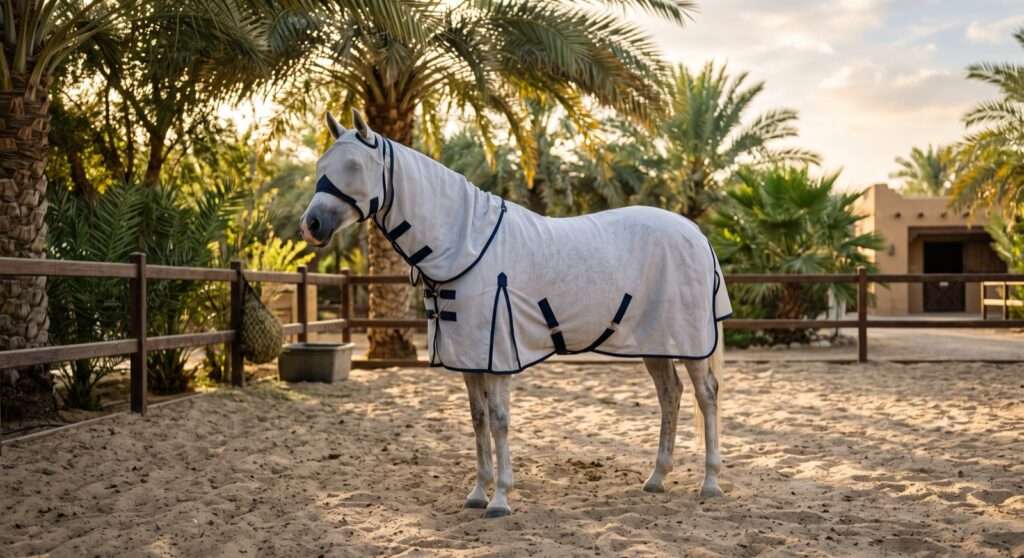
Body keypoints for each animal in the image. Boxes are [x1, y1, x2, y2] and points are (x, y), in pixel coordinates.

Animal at [300, 110, 732, 518]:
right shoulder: (470, 358)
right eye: (321, 164)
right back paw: (656, 478)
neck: (466, 244)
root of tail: (696, 233)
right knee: (670, 394)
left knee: (706, 395)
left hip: (690, 339)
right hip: (655, 341)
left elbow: (499, 420)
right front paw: (477, 494)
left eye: (354, 165)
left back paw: (710, 483)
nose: (311, 224)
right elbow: (477, 420)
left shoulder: (498, 356)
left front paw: (500, 500)